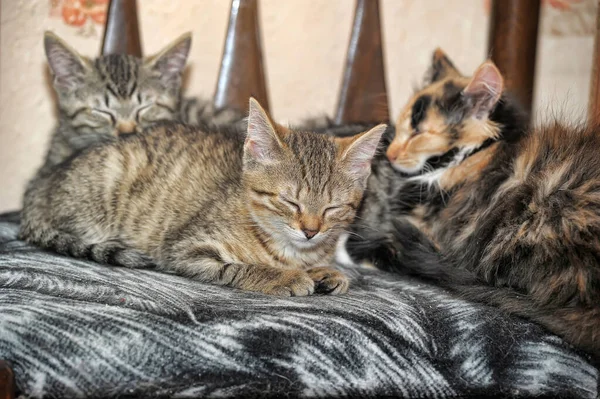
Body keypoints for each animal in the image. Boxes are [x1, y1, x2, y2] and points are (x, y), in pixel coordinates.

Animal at [21, 98, 386, 296]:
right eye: (289, 201)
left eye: (332, 208)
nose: (310, 231)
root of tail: (39, 187)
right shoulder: (185, 250)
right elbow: (242, 267)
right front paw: (285, 276)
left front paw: (326, 272)